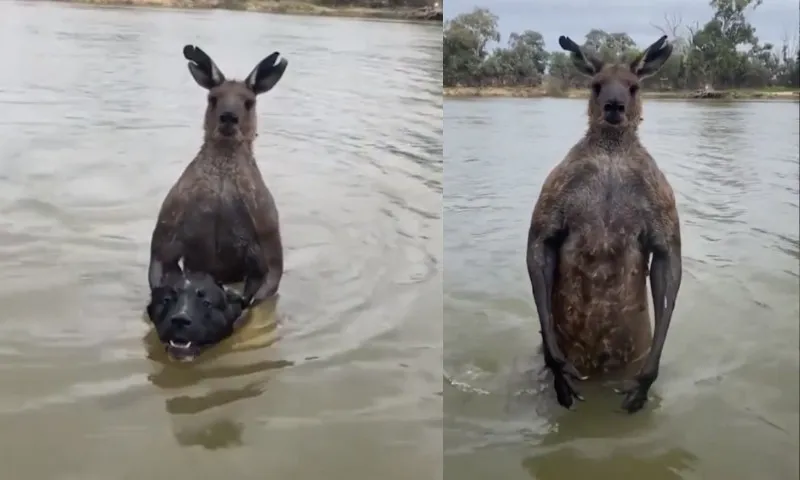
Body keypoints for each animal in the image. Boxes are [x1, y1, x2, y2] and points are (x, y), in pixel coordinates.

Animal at [150, 45, 288, 316]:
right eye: (213, 98)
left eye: (249, 102)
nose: (228, 117)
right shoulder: (168, 225)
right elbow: (160, 265)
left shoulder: (267, 234)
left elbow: (267, 282)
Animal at [528, 35, 684, 414]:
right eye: (596, 85)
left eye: (633, 86)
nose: (614, 106)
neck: (611, 154)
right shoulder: (554, 193)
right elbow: (541, 243)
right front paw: (559, 371)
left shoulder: (663, 201)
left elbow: (667, 260)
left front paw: (644, 383)